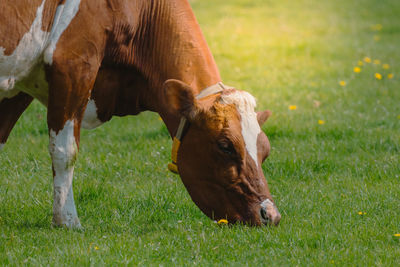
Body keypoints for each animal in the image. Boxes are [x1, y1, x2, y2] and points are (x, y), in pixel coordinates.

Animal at [0, 0, 282, 229]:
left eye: (266, 150)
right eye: (225, 146)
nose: (271, 215)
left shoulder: (21, 75)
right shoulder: (73, 64)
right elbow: (65, 151)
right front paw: (67, 220)